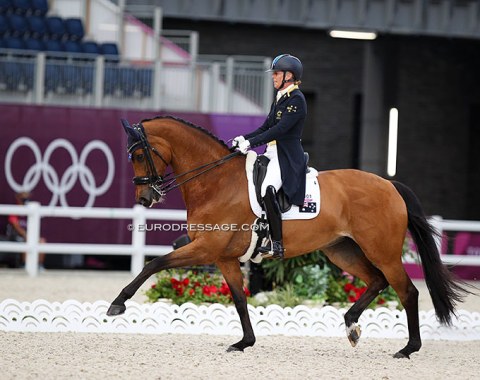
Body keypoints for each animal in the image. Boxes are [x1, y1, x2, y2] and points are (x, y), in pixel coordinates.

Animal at [107, 114, 470, 358]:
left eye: (138, 155)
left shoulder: (206, 248)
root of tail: (390, 185)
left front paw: (117, 304)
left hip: (382, 251)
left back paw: (408, 348)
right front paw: (244, 342)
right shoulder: (223, 257)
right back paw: (351, 324)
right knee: (377, 281)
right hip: (342, 250)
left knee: (407, 291)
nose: (145, 199)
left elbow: (153, 264)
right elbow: (239, 299)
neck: (216, 181)